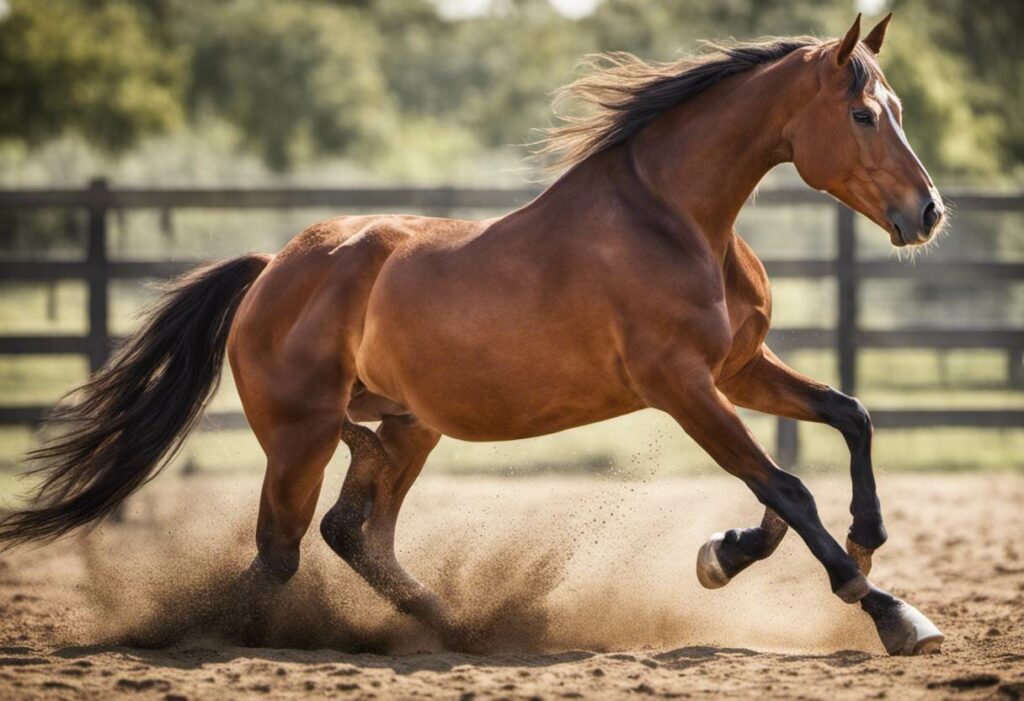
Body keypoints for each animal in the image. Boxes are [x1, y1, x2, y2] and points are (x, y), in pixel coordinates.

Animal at [0, 13, 942, 654]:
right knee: (280, 552)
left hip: (403, 426)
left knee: (353, 533)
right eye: (865, 115)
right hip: (302, 436)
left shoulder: (739, 369)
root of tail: (272, 269)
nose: (927, 212)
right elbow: (786, 484)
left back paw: (455, 624)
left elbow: (843, 423)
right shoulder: (681, 385)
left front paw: (762, 547)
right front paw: (888, 608)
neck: (676, 219)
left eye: (898, 105)